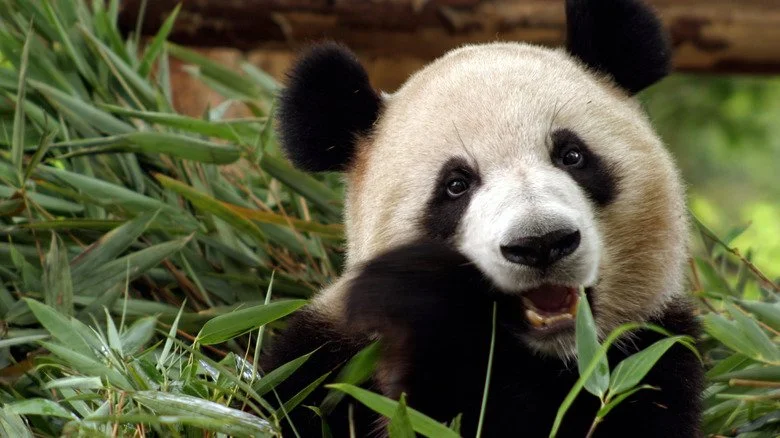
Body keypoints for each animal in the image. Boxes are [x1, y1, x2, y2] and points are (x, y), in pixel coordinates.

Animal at [262, 0, 704, 436]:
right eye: (456, 184)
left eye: (572, 155)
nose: (541, 242)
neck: (548, 357)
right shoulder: (328, 359)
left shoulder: (651, 353)